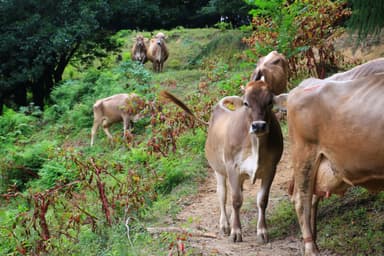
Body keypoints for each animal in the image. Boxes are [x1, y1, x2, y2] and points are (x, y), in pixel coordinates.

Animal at [160, 79, 284, 243]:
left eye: (269, 102)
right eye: (246, 103)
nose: (259, 126)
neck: (256, 143)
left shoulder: (271, 168)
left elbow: (262, 200)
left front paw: (262, 231)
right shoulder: (232, 167)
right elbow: (236, 200)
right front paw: (236, 232)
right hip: (218, 169)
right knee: (223, 195)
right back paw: (225, 225)